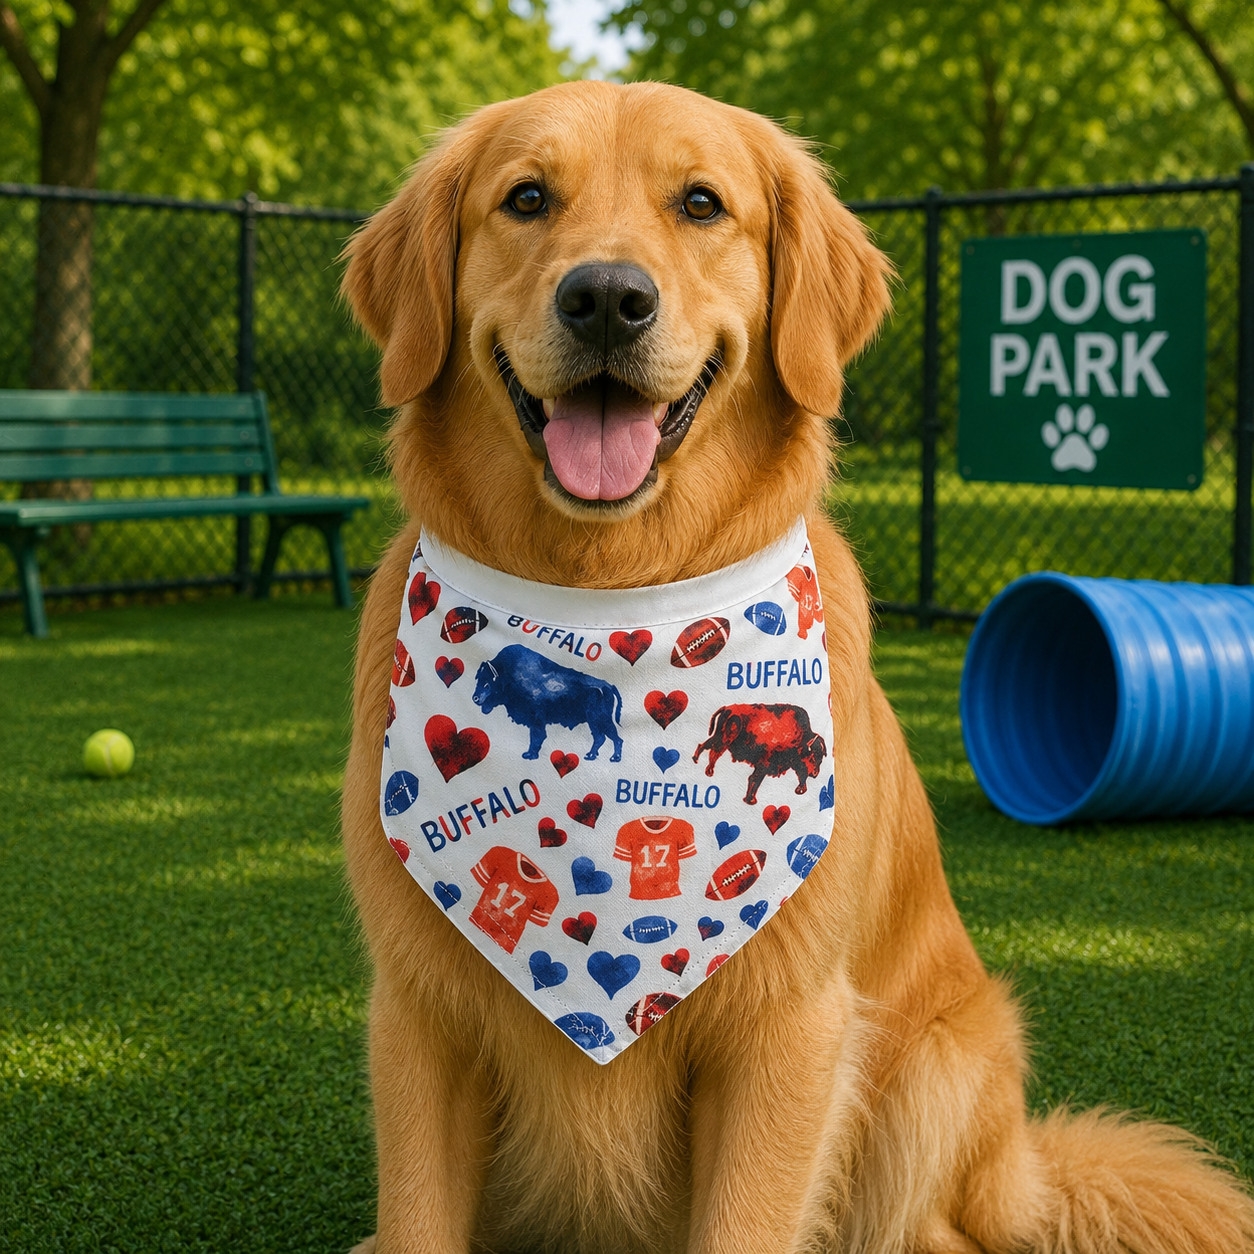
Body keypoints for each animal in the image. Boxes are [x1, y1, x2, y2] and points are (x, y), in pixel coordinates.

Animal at [473, 644, 624, 762]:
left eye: (487, 683)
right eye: (478, 679)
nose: (475, 698)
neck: (508, 675)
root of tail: (608, 685)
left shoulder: (537, 719)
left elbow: (537, 736)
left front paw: (530, 755)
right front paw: (529, 754)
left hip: (600, 719)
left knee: (614, 738)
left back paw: (614, 758)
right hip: (594, 721)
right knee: (600, 737)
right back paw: (591, 755)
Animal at [693, 703, 826, 804]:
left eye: (821, 758)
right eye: (812, 757)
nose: (815, 773)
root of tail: (727, 708)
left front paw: (800, 790)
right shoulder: (764, 764)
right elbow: (755, 779)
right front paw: (750, 800)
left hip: (719, 737)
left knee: (705, 745)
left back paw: (696, 760)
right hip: (725, 739)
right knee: (714, 752)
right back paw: (709, 771)